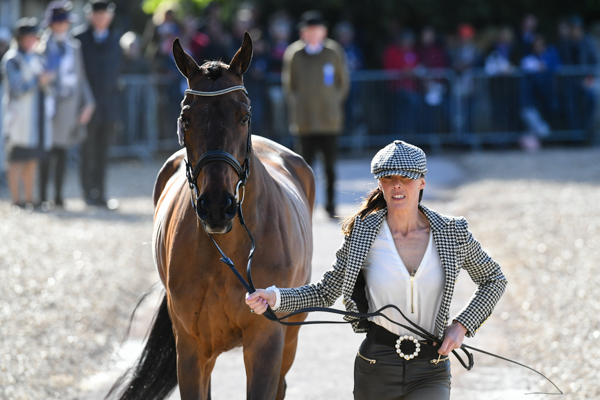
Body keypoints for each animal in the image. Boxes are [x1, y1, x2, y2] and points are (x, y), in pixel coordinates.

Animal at [109, 32, 314, 398]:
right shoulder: (192, 350)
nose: (217, 206)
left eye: (244, 116)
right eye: (186, 118)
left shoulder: (266, 343)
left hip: (291, 334)